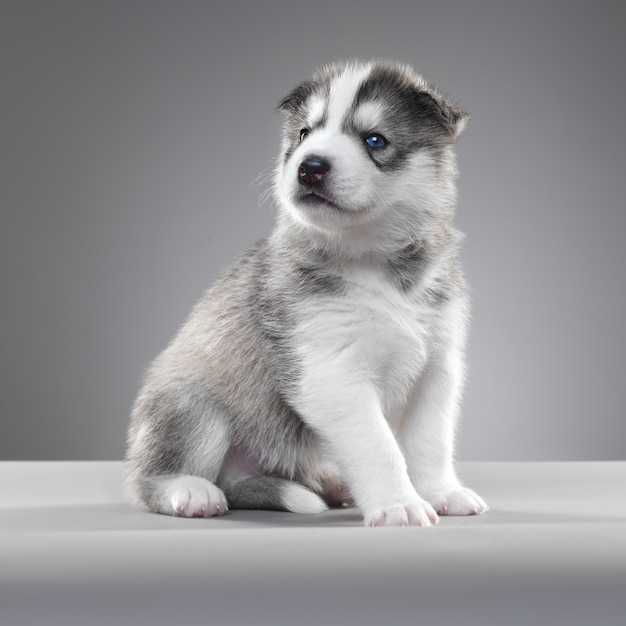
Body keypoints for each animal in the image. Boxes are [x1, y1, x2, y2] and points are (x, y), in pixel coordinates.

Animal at [125, 61, 488, 524]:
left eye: (375, 139)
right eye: (303, 134)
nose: (310, 166)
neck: (375, 263)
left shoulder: (437, 367)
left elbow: (431, 443)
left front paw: (441, 492)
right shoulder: (330, 370)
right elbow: (380, 448)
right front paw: (399, 505)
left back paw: (331, 484)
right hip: (193, 405)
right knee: (152, 477)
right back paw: (189, 490)